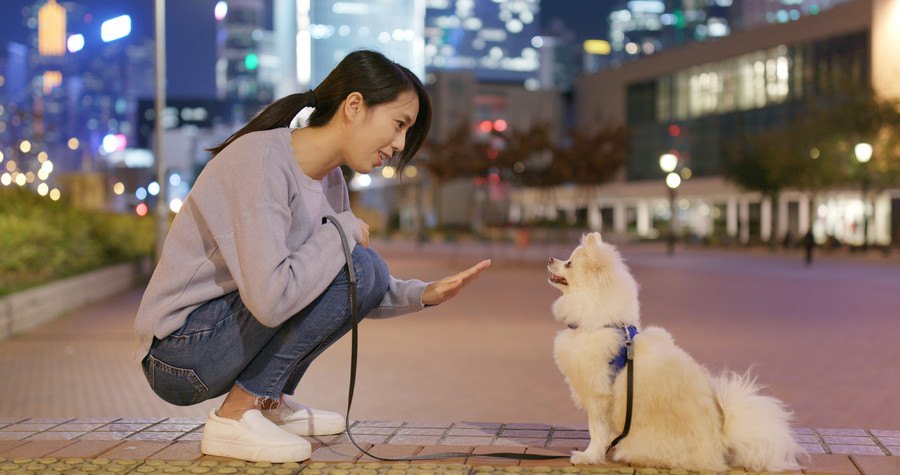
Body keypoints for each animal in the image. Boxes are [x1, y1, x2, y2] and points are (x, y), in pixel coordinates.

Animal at [548, 234, 800, 472]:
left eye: (569, 263)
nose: (550, 259)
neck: (603, 323)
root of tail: (721, 444)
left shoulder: (598, 396)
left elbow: (596, 431)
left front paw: (588, 456)